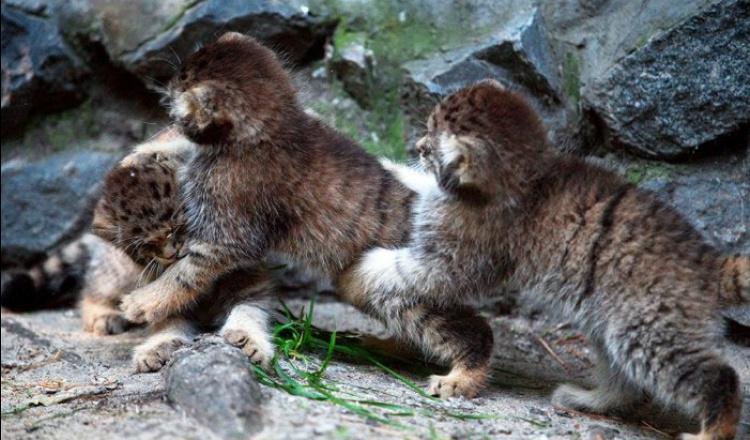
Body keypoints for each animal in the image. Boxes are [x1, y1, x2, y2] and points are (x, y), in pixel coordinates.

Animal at [119, 32, 494, 390]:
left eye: (180, 89)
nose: (167, 95)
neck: (275, 125)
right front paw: (143, 153)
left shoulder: (227, 235)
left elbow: (184, 274)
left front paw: (143, 302)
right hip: (362, 283)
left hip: (404, 290)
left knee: (477, 331)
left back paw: (462, 378)